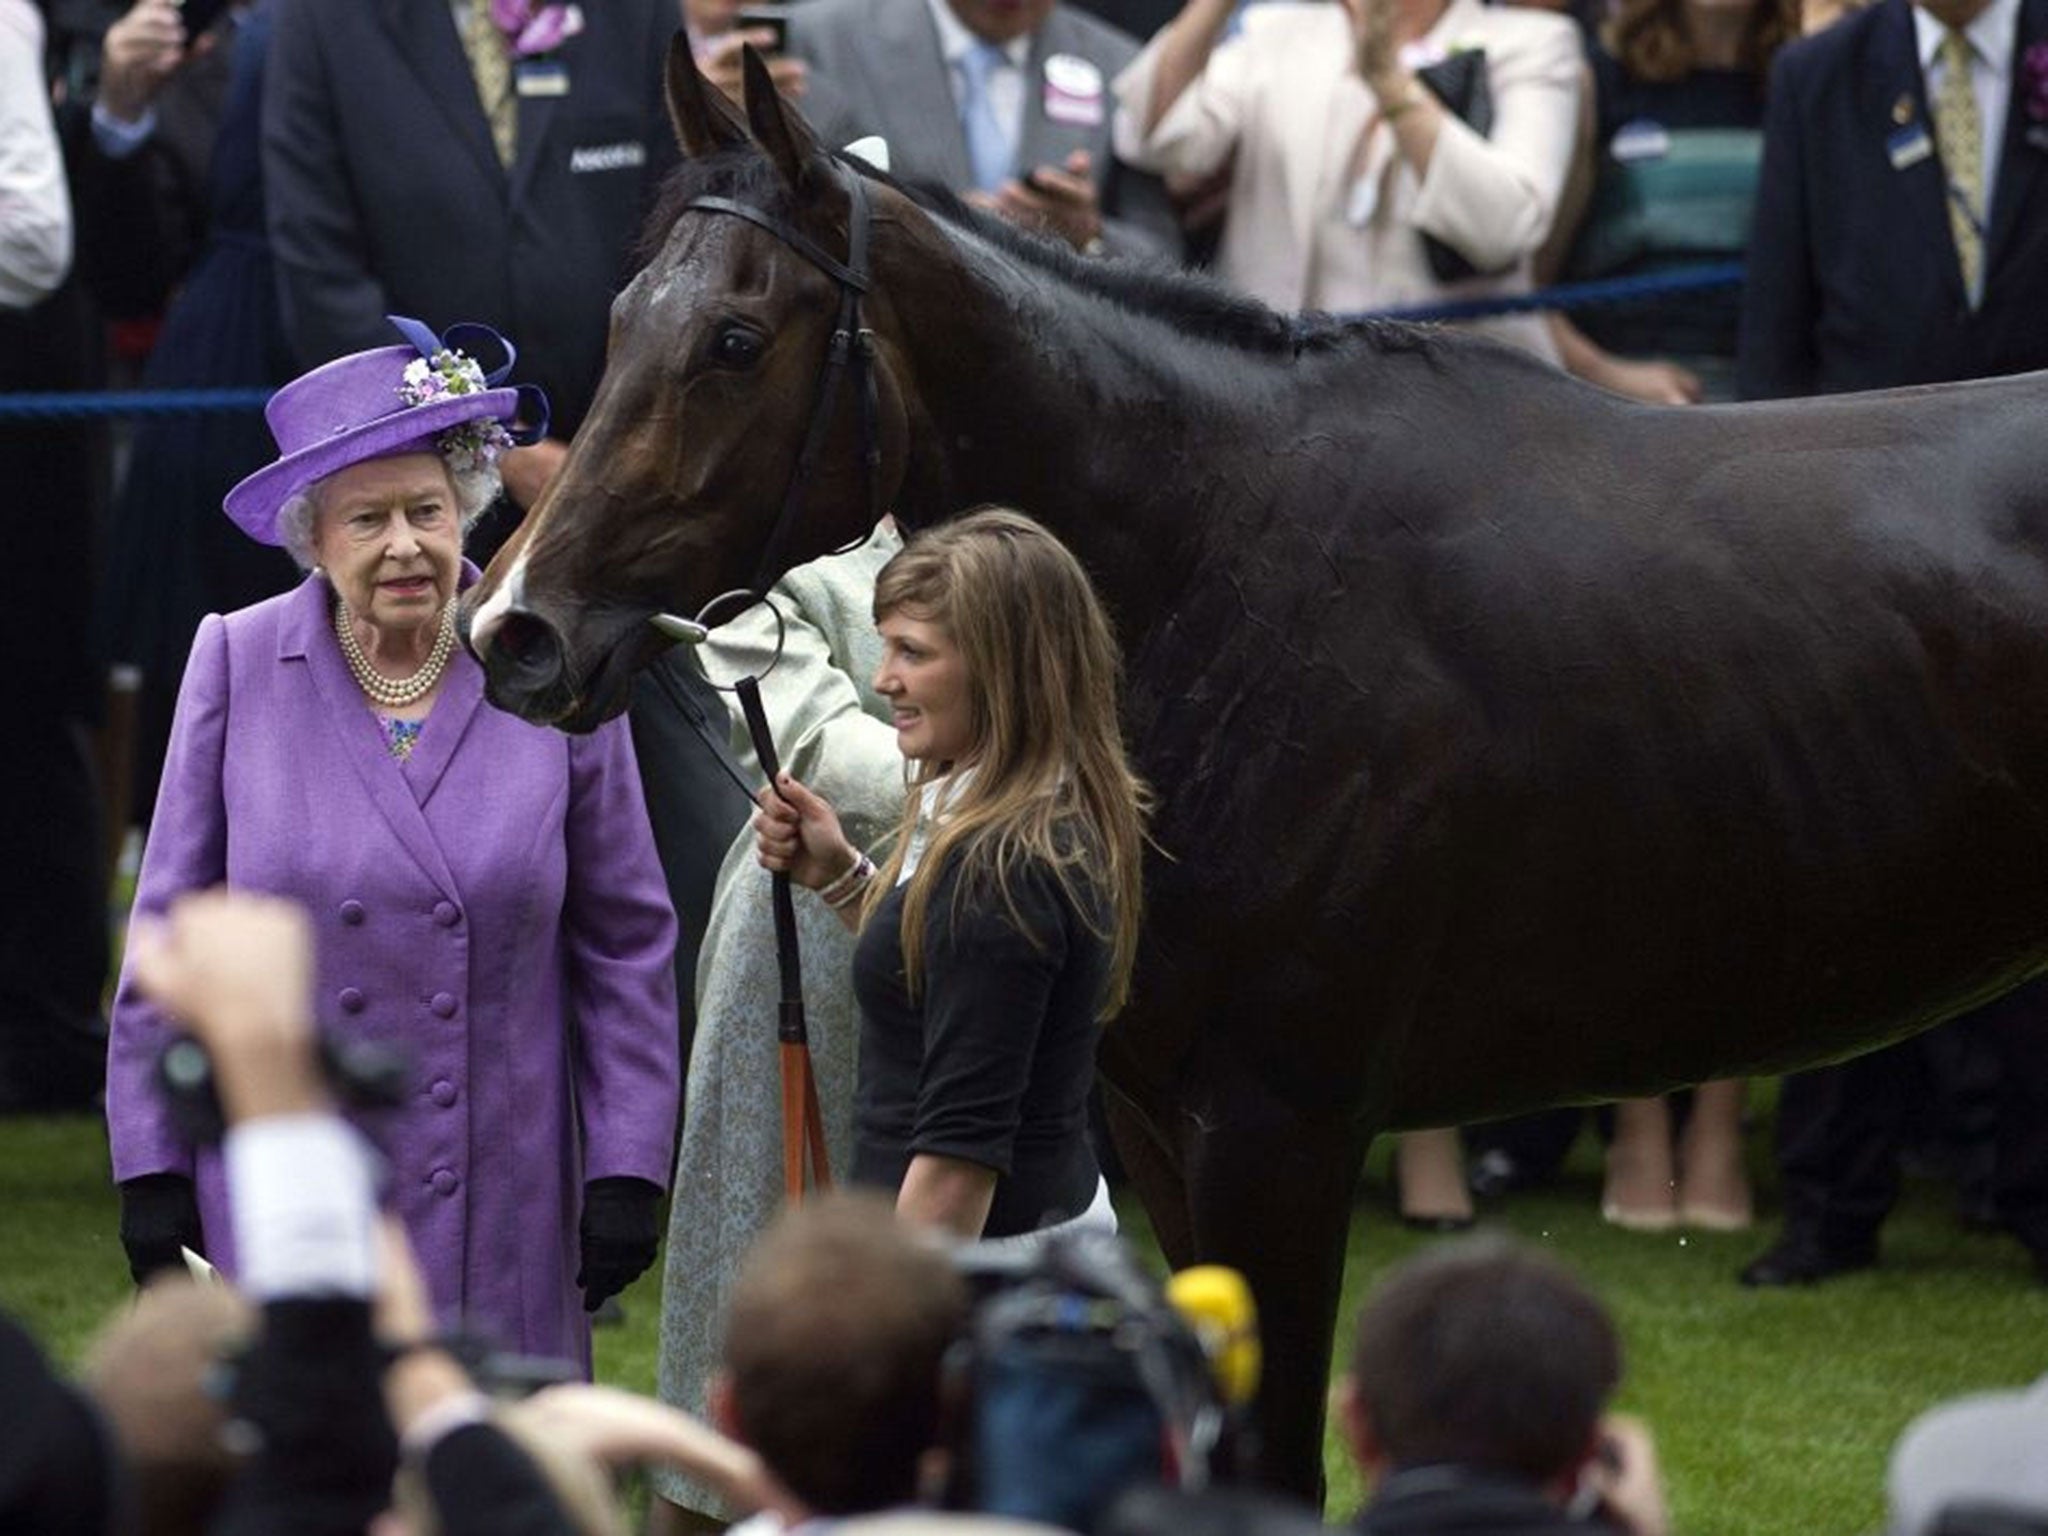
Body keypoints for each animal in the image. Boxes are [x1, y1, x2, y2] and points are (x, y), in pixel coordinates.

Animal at [468, 41, 2048, 1499]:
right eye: (622, 319)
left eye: (737, 339)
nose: (516, 631)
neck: (1226, 567)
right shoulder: (1153, 1126)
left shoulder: (1279, 1132)